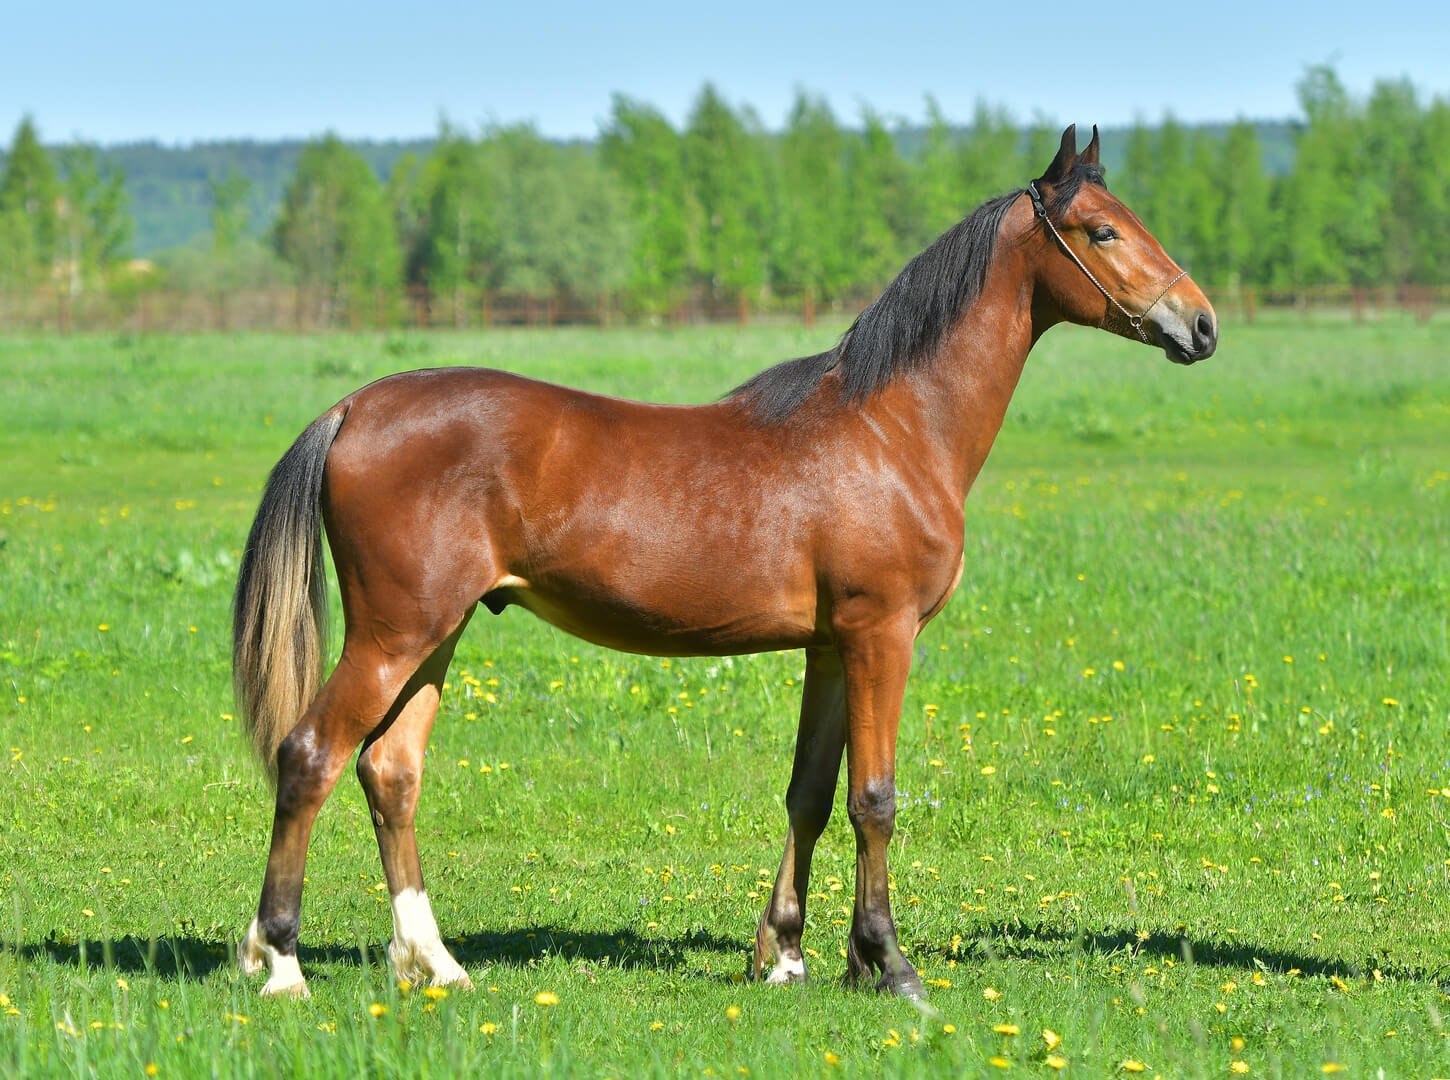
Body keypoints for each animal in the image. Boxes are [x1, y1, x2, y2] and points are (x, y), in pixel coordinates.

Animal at [234, 123, 1212, 991]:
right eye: (1104, 230)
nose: (1199, 325)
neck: (891, 429)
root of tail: (355, 409)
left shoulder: (832, 647)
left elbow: (810, 793)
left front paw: (789, 955)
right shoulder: (882, 635)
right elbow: (875, 798)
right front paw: (889, 965)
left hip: (436, 634)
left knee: (390, 772)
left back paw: (434, 964)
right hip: (395, 634)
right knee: (311, 755)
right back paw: (280, 962)